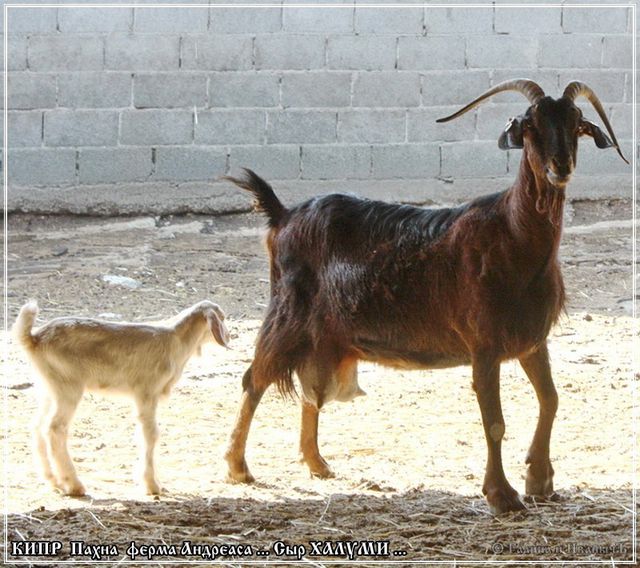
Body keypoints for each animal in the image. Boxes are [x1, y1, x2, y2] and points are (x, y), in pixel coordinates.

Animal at [222, 81, 628, 516]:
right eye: (531, 126)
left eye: (575, 125)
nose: (560, 166)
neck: (513, 234)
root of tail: (282, 216)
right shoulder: (484, 344)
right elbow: (495, 422)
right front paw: (501, 495)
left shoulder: (533, 339)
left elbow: (550, 400)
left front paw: (540, 480)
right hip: (286, 315)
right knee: (254, 379)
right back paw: (238, 467)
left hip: (323, 337)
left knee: (309, 389)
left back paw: (317, 463)